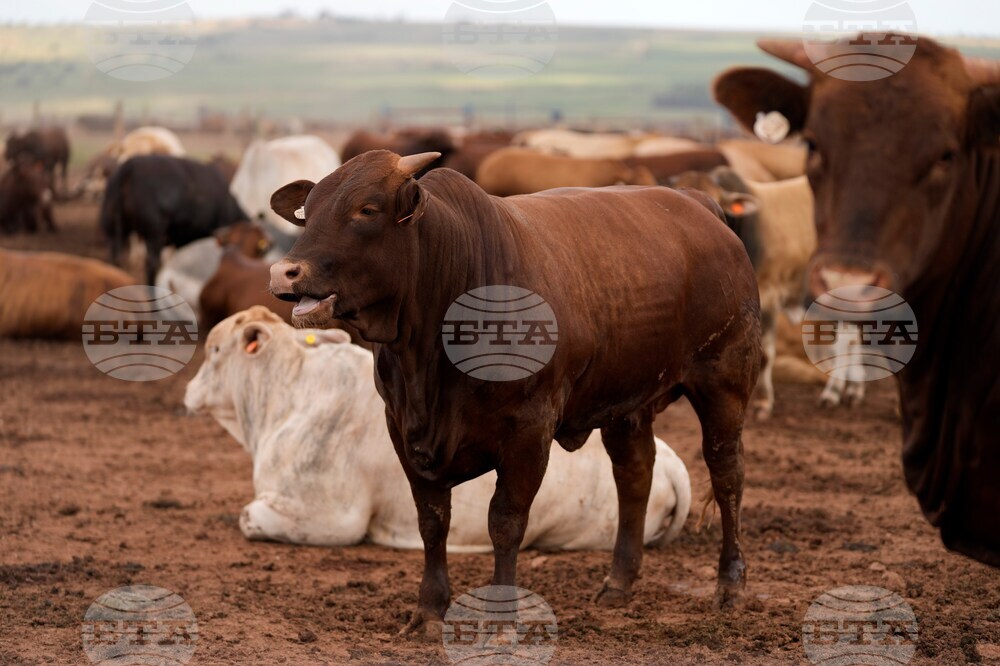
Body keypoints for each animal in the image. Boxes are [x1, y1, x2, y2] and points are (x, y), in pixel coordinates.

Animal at [185, 306, 691, 550]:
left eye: (213, 351)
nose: (187, 391)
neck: (284, 397)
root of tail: (672, 464)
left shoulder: (332, 517)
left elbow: (249, 516)